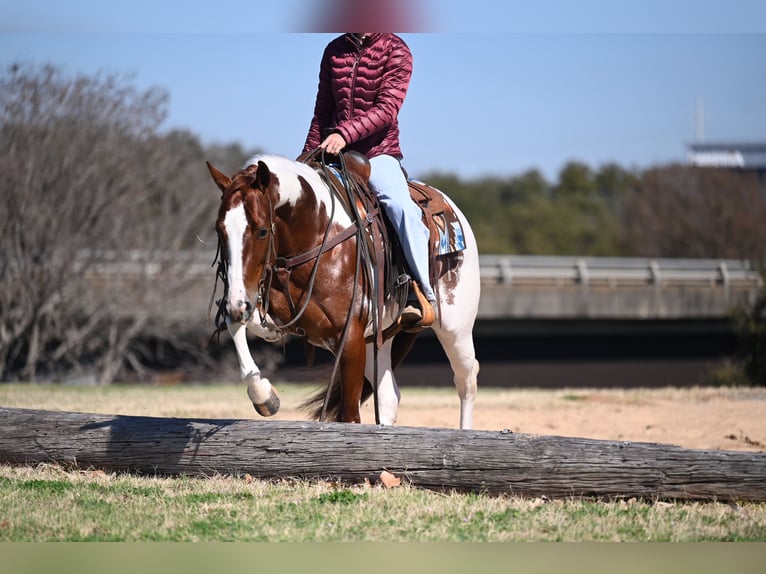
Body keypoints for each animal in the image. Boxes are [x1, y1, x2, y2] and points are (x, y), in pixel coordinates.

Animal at [207, 152, 480, 429]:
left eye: (262, 231)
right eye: (220, 229)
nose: (237, 302)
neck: (315, 235)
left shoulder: (349, 336)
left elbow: (349, 416)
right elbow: (236, 324)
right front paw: (265, 396)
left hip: (456, 329)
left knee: (466, 380)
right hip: (377, 339)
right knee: (389, 396)